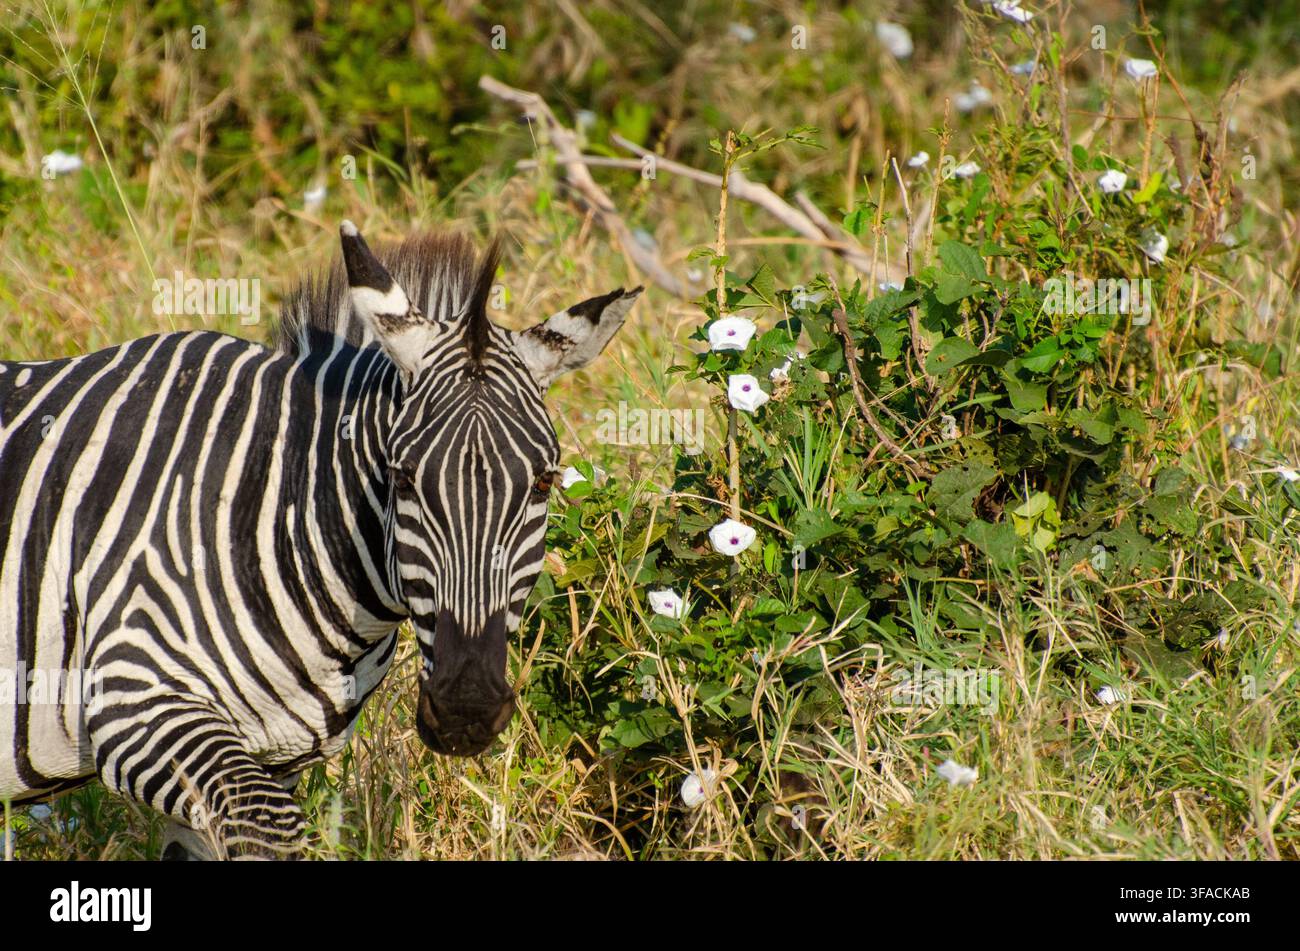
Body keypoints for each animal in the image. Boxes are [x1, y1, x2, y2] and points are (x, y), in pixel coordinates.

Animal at [0, 221, 641, 858]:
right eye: (402, 478)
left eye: (544, 482)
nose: (466, 707)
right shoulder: (137, 691)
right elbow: (277, 835)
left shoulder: (267, 755)